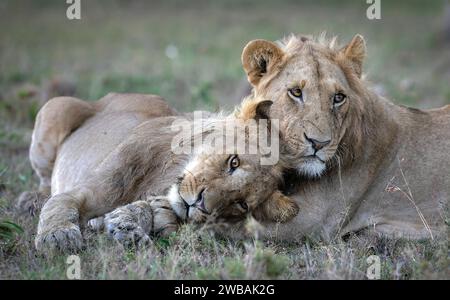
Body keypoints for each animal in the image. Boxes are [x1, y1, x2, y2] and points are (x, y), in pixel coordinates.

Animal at [31, 92, 298, 252]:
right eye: (234, 162)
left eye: (241, 204)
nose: (201, 205)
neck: (164, 176)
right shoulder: (90, 190)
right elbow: (59, 203)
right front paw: (58, 236)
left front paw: (132, 230)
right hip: (57, 108)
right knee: (44, 182)